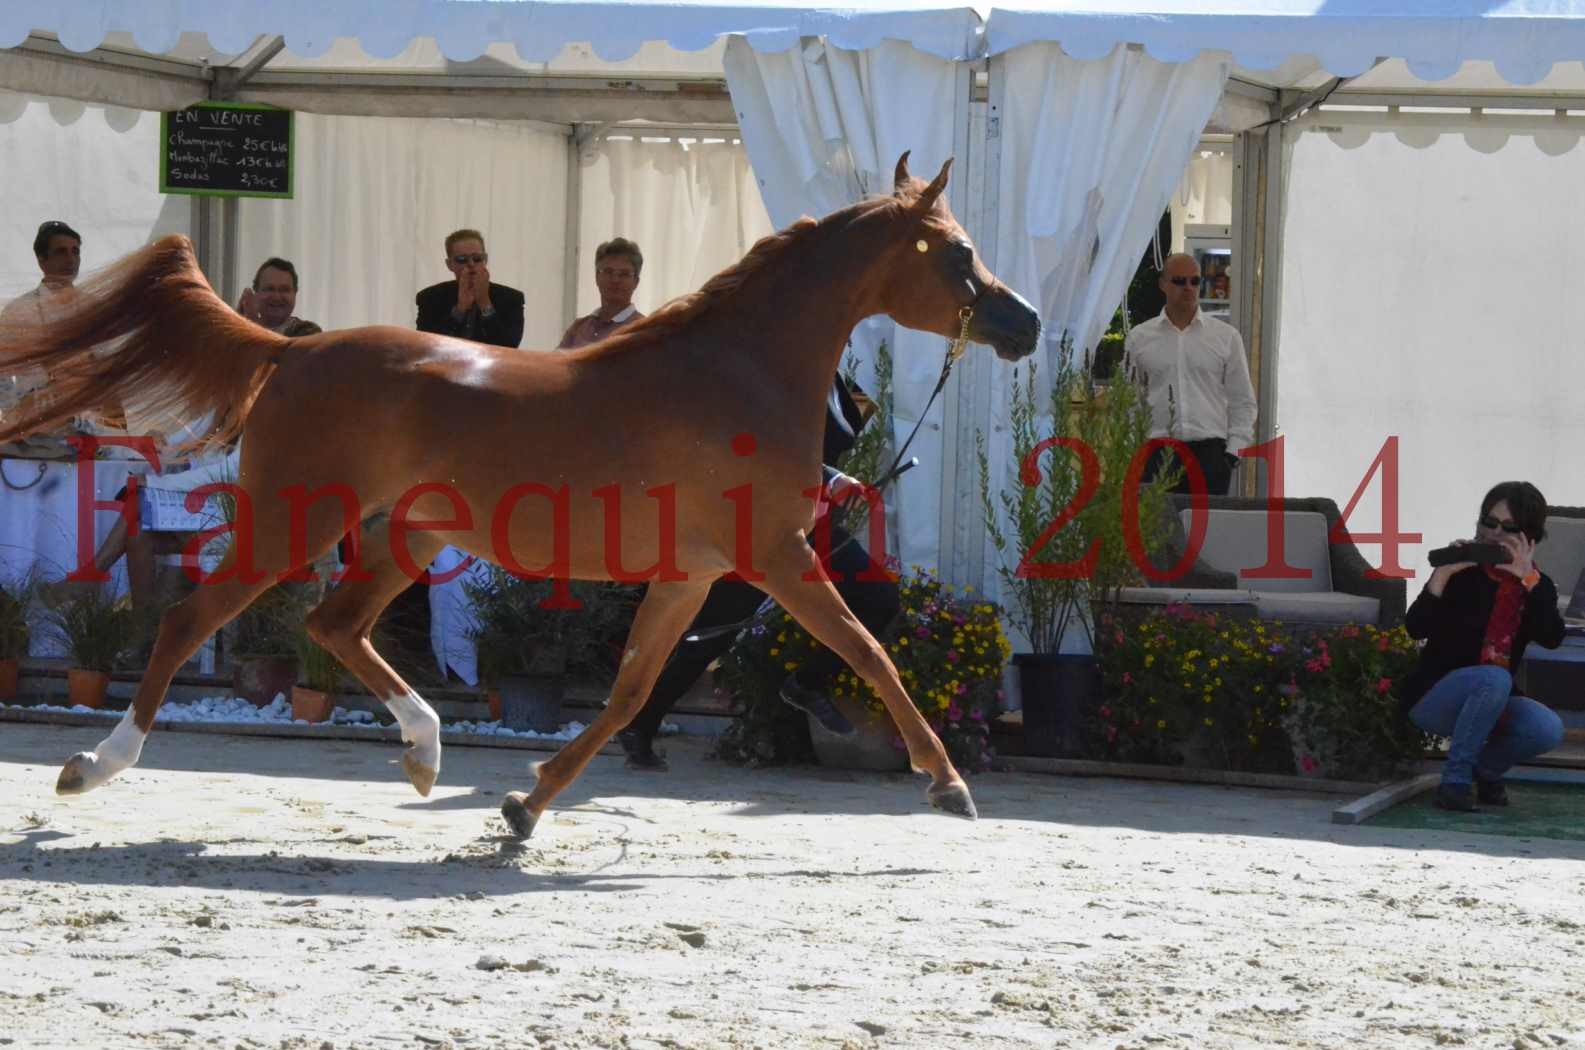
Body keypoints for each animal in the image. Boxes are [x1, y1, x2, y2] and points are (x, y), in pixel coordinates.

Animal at [0, 154, 1039, 837]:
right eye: (955, 252)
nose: (1023, 322)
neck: (734, 371)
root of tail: (293, 350)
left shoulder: (695, 576)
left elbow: (629, 693)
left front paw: (523, 805)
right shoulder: (774, 558)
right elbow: (870, 653)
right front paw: (948, 785)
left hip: (405, 537)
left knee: (335, 627)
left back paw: (425, 753)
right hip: (298, 520)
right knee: (190, 622)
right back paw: (92, 768)